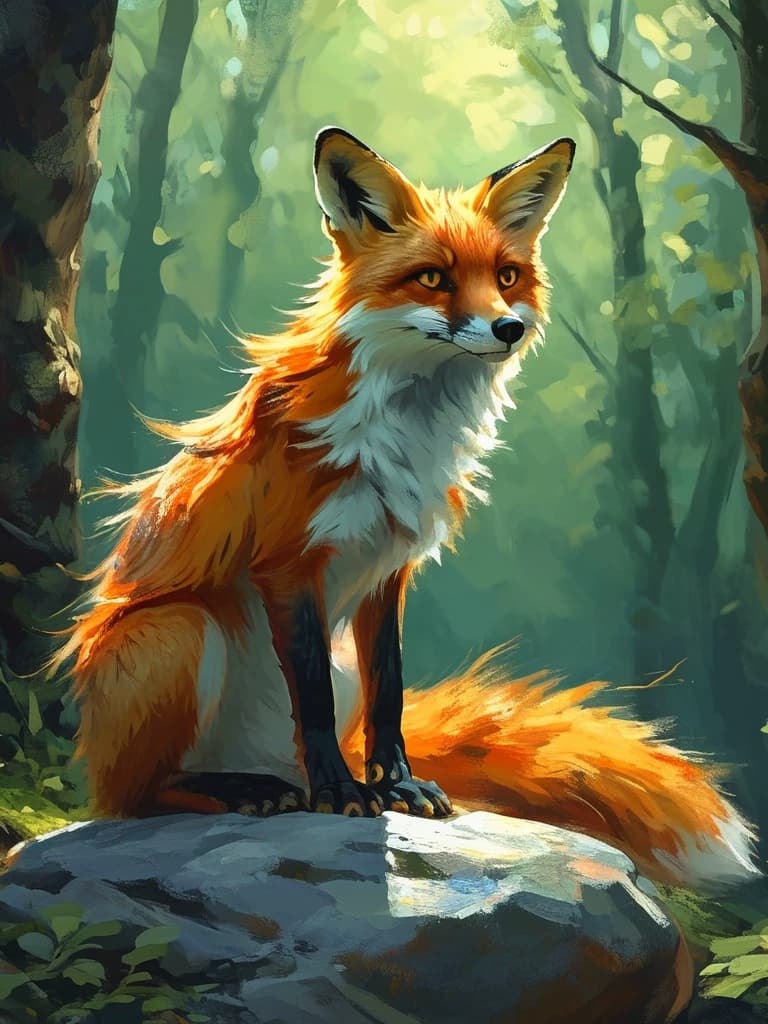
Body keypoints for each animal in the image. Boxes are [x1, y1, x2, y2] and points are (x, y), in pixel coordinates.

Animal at [55, 127, 758, 889]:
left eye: (506, 276)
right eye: (433, 279)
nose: (508, 328)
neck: (404, 433)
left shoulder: (390, 567)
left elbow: (388, 691)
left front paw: (393, 786)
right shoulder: (288, 562)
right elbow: (313, 702)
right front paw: (341, 792)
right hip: (175, 632)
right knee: (140, 795)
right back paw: (250, 790)